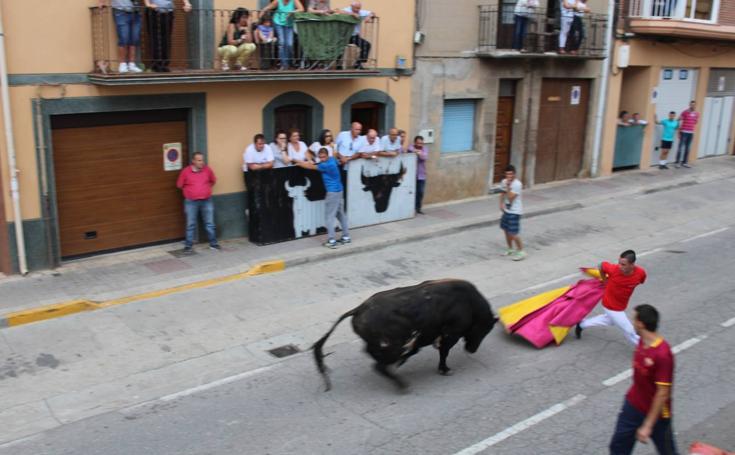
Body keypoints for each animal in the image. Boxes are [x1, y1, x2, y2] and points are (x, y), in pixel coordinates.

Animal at [310, 280, 500, 390]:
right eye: (484, 329)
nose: (472, 349)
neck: (469, 304)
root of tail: (359, 309)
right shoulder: (450, 335)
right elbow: (444, 353)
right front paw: (445, 370)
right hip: (392, 348)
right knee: (379, 365)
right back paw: (401, 383)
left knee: (374, 357)